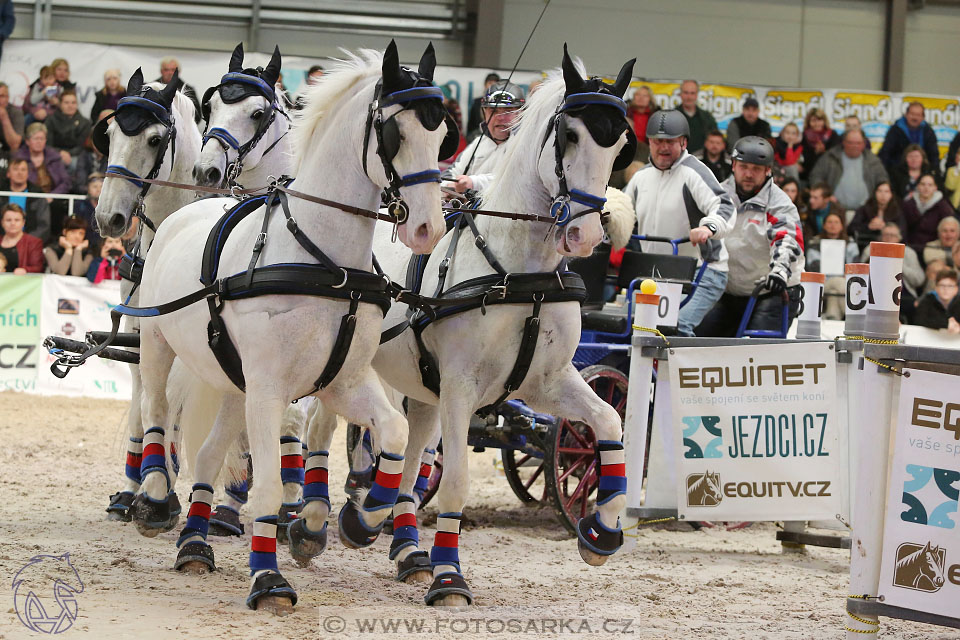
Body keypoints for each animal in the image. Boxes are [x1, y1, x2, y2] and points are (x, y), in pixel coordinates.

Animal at [133, 42, 452, 612]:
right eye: (395, 133)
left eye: (442, 136)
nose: (426, 228)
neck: (323, 259)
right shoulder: (269, 389)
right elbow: (266, 485)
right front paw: (268, 580)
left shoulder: (341, 381)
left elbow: (392, 431)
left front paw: (363, 518)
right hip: (158, 345)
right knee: (156, 409)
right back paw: (153, 496)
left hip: (232, 382)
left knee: (209, 454)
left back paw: (194, 545)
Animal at [302, 47, 636, 608]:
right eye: (569, 134)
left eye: (619, 143)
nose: (587, 235)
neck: (519, 273)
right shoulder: (461, 387)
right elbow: (455, 480)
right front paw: (449, 578)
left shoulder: (547, 383)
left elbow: (609, 424)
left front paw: (602, 531)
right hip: (351, 367)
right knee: (322, 432)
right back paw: (310, 521)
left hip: (419, 390)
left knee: (410, 459)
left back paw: (402, 546)